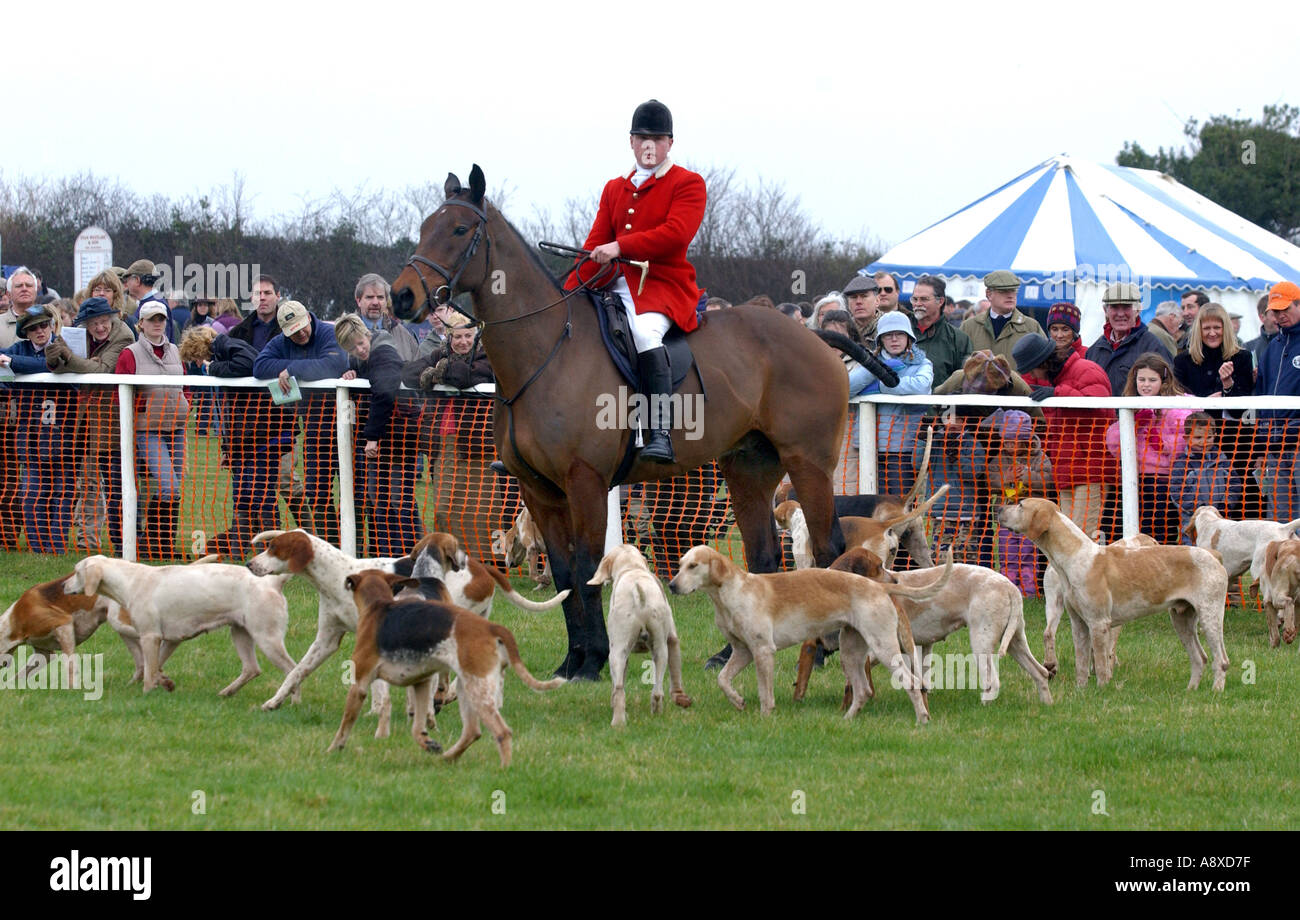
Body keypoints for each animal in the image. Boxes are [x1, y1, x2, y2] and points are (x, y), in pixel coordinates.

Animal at [387, 167, 863, 680]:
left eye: (459, 230)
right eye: (423, 227)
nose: (401, 296)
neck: (547, 350)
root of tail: (816, 337)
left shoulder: (586, 483)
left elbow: (586, 569)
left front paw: (593, 659)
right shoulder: (539, 492)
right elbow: (562, 572)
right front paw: (571, 661)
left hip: (808, 464)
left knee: (829, 548)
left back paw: (825, 649)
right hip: (749, 470)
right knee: (763, 556)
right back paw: (729, 654)